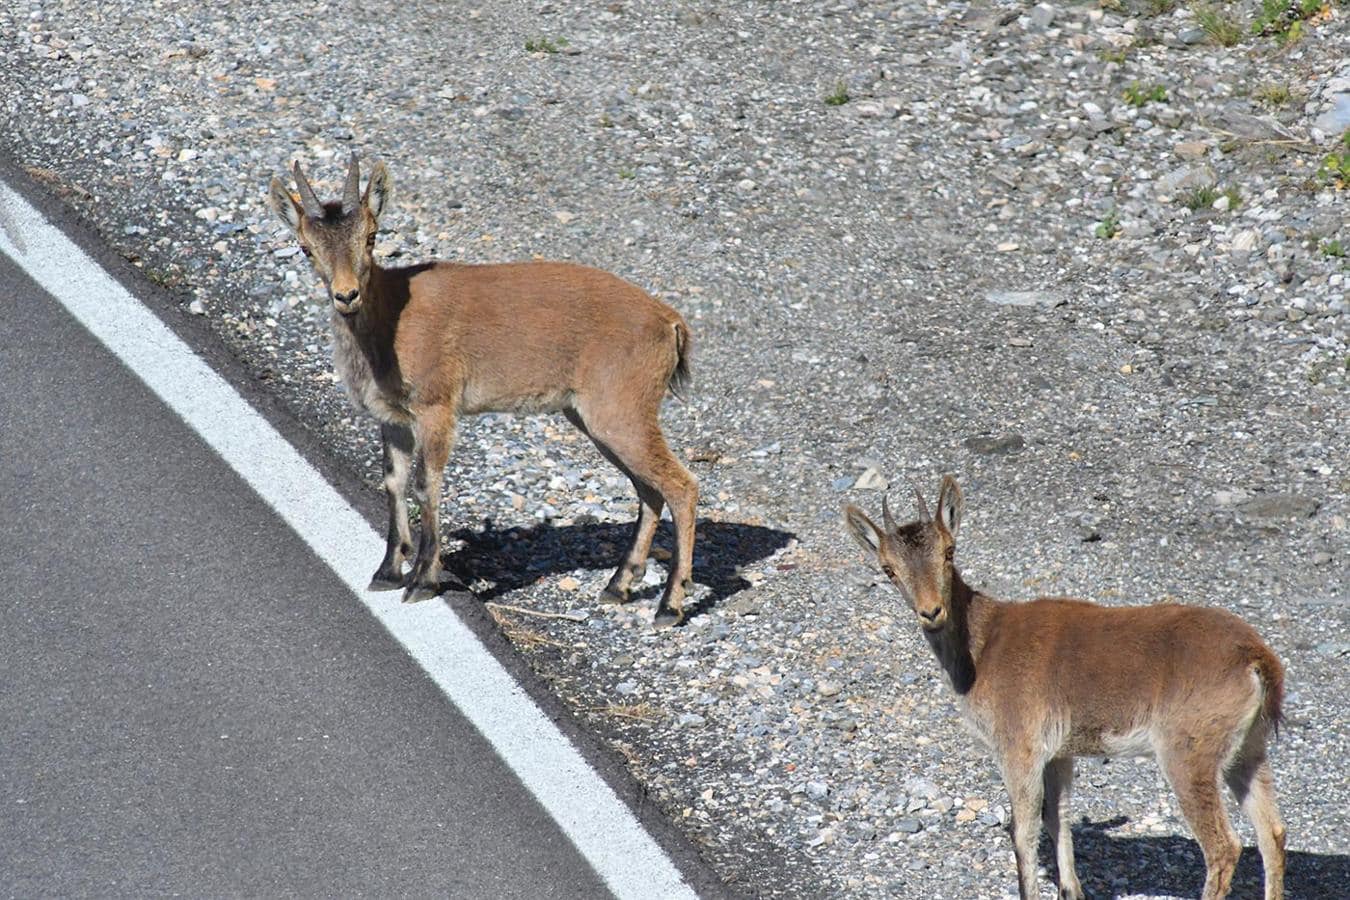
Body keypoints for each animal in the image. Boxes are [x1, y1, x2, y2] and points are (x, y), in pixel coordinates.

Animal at [270, 155, 702, 626]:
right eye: (306, 247)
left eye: (371, 236)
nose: (346, 295)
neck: (391, 325)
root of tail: (671, 324)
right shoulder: (393, 418)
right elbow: (394, 480)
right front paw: (386, 571)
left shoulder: (437, 406)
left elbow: (426, 483)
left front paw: (423, 580)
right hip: (594, 418)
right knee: (649, 491)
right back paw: (618, 585)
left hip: (621, 409)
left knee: (681, 486)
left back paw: (670, 605)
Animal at [842, 474, 1285, 895]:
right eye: (888, 569)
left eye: (949, 551)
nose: (931, 611)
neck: (982, 649)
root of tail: (1257, 659)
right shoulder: (1059, 752)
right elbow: (1060, 819)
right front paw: (1071, 889)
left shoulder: (1019, 746)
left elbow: (1024, 831)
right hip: (1248, 748)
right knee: (1272, 832)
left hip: (1188, 751)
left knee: (1223, 846)